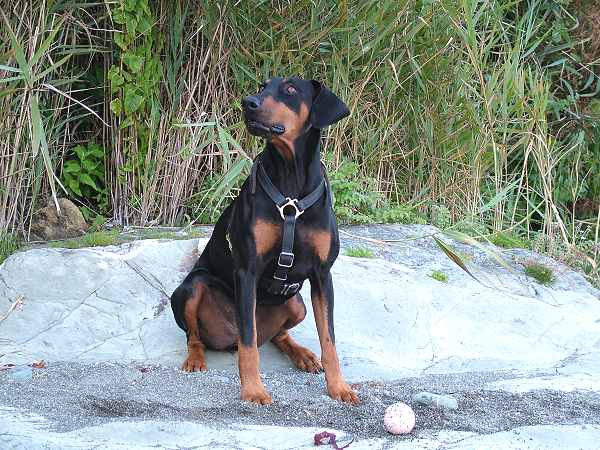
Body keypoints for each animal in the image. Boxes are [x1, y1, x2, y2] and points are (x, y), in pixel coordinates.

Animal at [169, 75, 358, 406]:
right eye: (263, 86)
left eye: (291, 90)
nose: (248, 103)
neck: (291, 181)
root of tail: (226, 336)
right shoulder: (248, 270)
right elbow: (249, 342)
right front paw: (253, 390)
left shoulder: (323, 275)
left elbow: (329, 339)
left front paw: (339, 387)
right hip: (192, 287)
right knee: (197, 336)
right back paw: (195, 359)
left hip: (296, 303)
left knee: (278, 336)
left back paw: (302, 354)